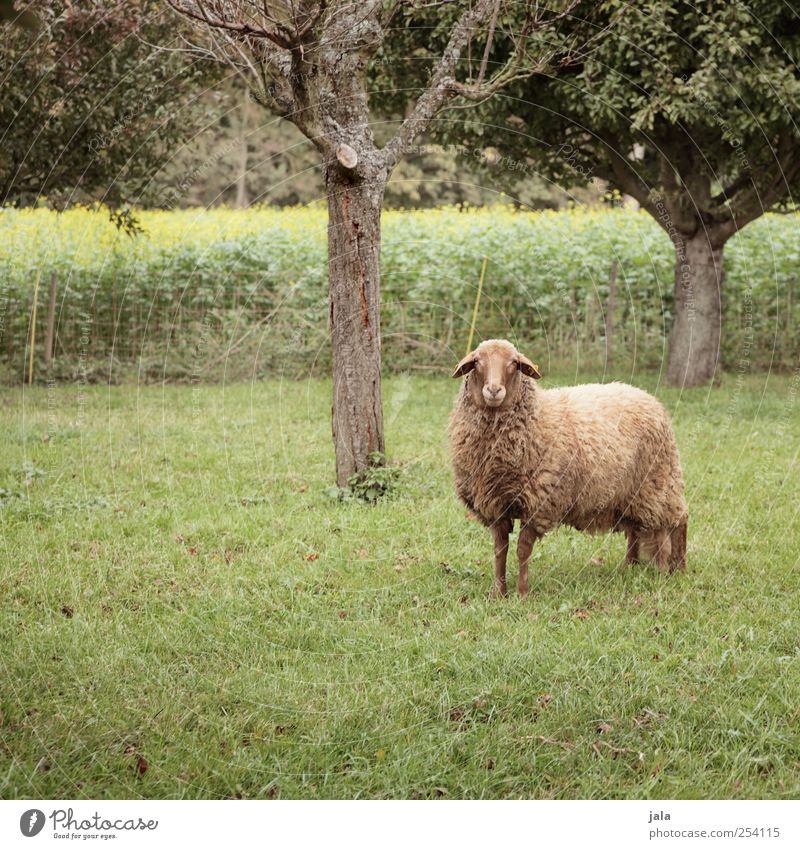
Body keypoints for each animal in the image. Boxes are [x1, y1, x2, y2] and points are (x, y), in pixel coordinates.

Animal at [450, 338, 688, 596]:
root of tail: (646, 396)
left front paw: (522, 594)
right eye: (477, 362)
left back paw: (677, 568)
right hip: (629, 491)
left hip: (658, 480)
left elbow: (522, 550)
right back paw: (630, 565)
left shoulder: (539, 503)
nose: (494, 391)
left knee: (679, 520)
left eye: (514, 363)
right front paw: (499, 593)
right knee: (635, 527)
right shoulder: (496, 505)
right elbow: (499, 550)